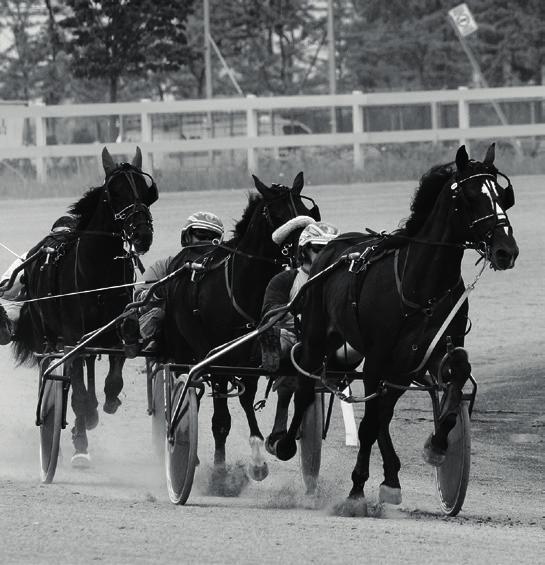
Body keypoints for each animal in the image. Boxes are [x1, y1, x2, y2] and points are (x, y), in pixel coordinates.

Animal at [13, 145, 157, 462]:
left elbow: (113, 376)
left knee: (88, 365)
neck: (99, 273)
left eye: (146, 191)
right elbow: (77, 391)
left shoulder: (114, 330)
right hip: (47, 337)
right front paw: (82, 432)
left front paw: (107, 402)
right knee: (59, 371)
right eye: (114, 192)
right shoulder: (72, 336)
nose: (142, 234)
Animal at [164, 174, 320, 482]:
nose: (302, 254)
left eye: (304, 209)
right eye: (276, 215)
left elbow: (250, 396)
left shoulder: (252, 354)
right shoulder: (216, 359)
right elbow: (221, 420)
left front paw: (262, 455)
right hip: (184, 347)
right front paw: (221, 471)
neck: (241, 285)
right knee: (187, 386)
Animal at [272, 143, 520, 504]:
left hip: (400, 370)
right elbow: (367, 425)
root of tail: (333, 248)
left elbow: (455, 377)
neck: (420, 285)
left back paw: (391, 477)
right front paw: (356, 488)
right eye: (470, 196)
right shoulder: (377, 358)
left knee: (384, 414)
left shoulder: (430, 352)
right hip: (320, 335)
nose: (506, 251)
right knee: (306, 389)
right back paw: (287, 443)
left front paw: (437, 446)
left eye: (502, 195)